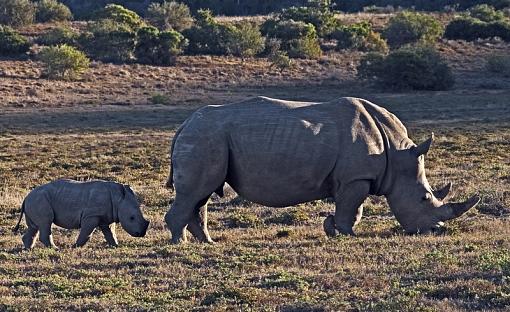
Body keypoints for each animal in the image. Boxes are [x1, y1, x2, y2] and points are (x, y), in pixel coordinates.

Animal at [11, 180, 149, 249]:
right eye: (132, 218)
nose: (141, 234)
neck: (119, 199)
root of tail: (26, 198)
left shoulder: (107, 217)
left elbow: (110, 233)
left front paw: (116, 246)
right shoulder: (92, 216)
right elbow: (87, 233)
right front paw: (75, 246)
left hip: (35, 200)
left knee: (34, 226)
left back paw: (28, 249)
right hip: (39, 200)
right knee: (45, 223)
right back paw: (55, 249)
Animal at [165, 97, 480, 244]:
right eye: (424, 199)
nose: (436, 231)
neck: (398, 154)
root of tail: (184, 124)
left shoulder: (352, 178)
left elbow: (352, 208)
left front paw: (332, 229)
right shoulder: (356, 177)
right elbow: (353, 208)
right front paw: (346, 234)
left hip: (208, 138)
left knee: (201, 195)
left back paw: (207, 242)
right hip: (205, 137)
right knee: (195, 193)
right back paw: (180, 243)